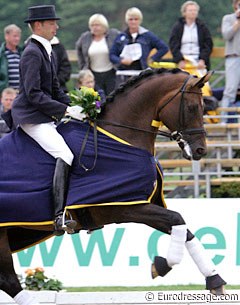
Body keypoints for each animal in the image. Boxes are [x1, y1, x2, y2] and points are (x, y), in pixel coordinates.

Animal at [0, 67, 227, 302]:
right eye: (192, 108)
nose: (201, 150)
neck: (121, 136)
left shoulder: (141, 205)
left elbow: (184, 229)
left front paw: (213, 279)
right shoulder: (124, 207)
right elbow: (177, 219)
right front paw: (163, 265)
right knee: (8, 280)